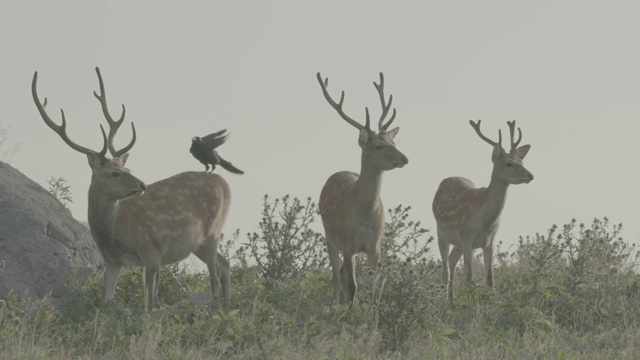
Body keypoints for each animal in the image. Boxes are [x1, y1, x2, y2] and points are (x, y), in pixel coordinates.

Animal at [31, 68, 232, 310]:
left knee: (215, 275)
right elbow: (106, 300)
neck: (116, 232)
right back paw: (228, 307)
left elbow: (150, 304)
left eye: (127, 168)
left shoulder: (152, 252)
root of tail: (225, 184)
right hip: (200, 243)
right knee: (225, 265)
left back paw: (216, 309)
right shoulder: (112, 260)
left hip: (211, 232)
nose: (142, 184)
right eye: (115, 173)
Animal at [316, 72, 410, 306]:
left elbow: (373, 286)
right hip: (329, 236)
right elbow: (352, 286)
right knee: (336, 276)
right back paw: (333, 306)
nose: (404, 158)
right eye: (378, 146)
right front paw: (350, 311)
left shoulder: (375, 246)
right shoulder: (348, 243)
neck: (365, 215)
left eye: (393, 142)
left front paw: (371, 310)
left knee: (340, 273)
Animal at [432, 119, 532, 300]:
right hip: (441, 233)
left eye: (522, 162)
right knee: (445, 271)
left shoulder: (490, 242)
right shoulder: (468, 238)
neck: (485, 221)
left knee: (451, 261)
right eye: (509, 163)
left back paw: (452, 301)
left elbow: (490, 280)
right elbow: (469, 278)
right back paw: (446, 302)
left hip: (458, 242)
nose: (530, 175)